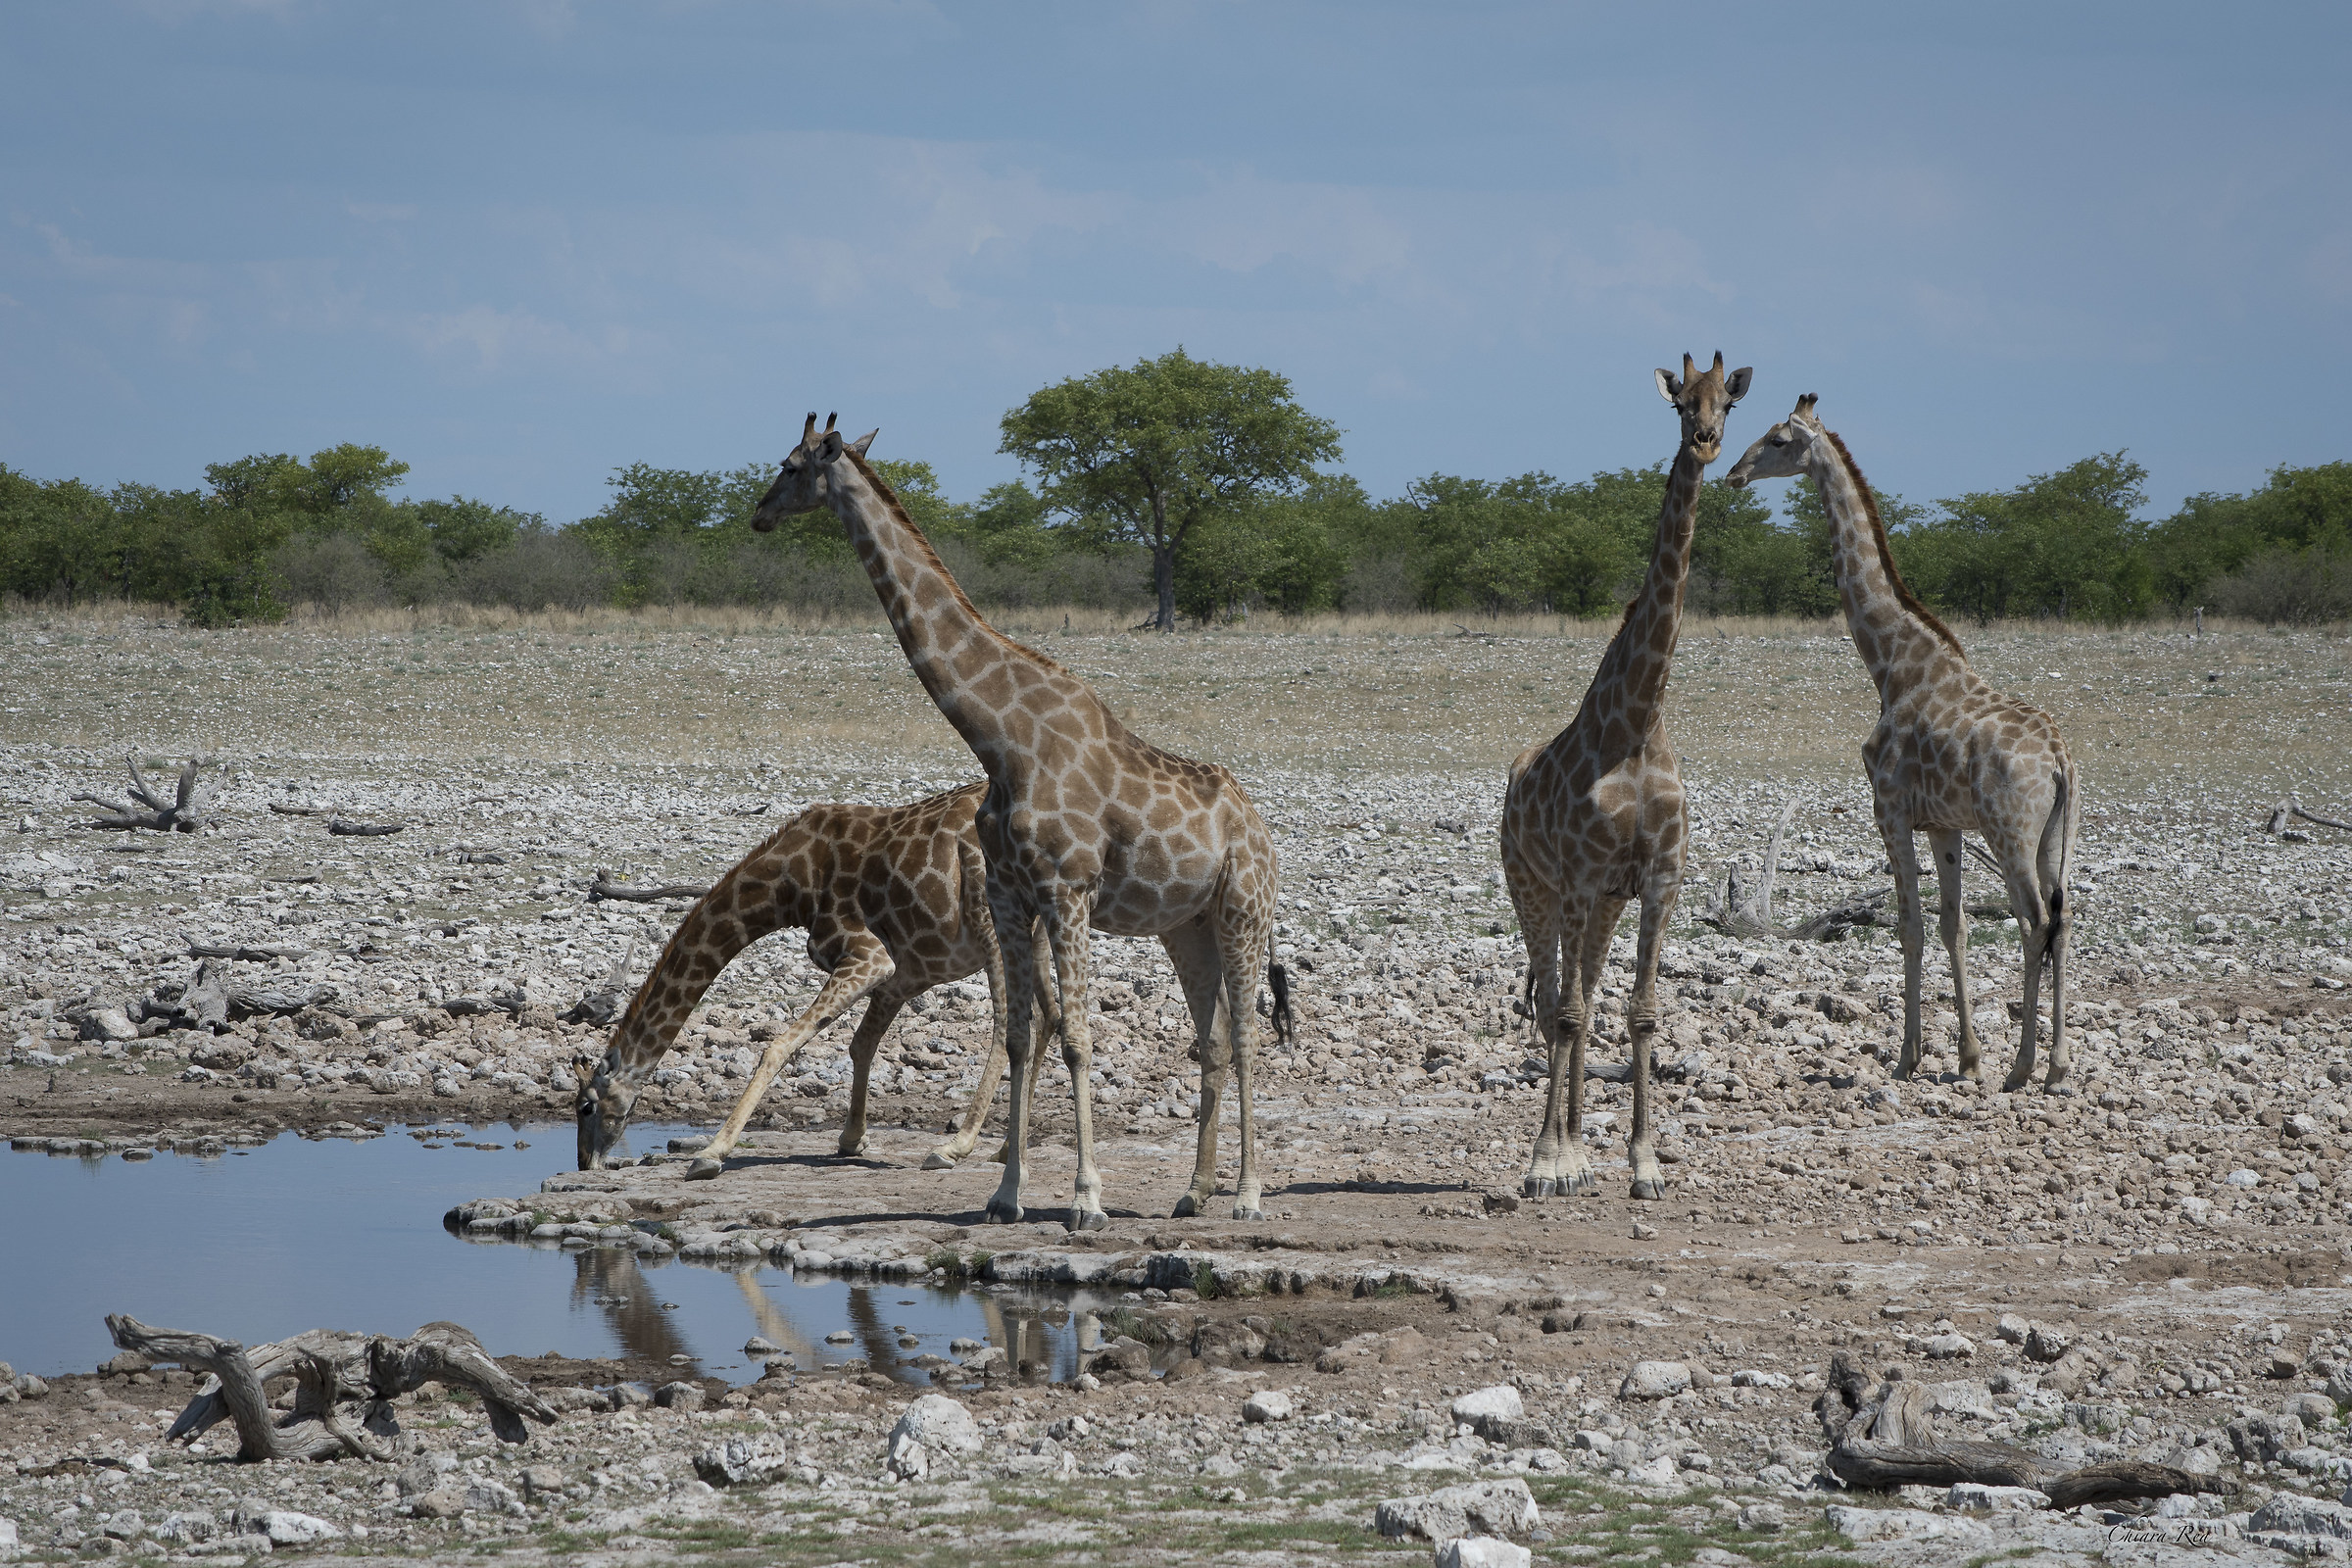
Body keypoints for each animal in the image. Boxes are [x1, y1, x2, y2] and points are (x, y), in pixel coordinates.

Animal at [575, 784, 1059, 1177]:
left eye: (585, 1107)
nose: (583, 1162)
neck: (791, 886)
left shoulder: (871, 956)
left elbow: (780, 1045)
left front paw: (712, 1152)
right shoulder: (905, 971)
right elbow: (861, 1044)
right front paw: (851, 1139)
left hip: (990, 918)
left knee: (1009, 1024)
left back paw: (956, 1146)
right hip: (1035, 931)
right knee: (1048, 1016)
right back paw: (1005, 1149)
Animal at [752, 415, 1291, 1231]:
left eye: (790, 466)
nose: (756, 514)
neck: (999, 740)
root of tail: (1259, 827)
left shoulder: (1067, 888)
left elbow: (1076, 1037)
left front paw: (1085, 1197)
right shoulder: (1010, 893)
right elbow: (1016, 1034)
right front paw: (1004, 1193)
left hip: (1242, 908)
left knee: (1251, 1035)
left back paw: (1249, 1195)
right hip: (1184, 926)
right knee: (1216, 1040)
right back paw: (1194, 1191)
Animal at [1503, 352, 1751, 1201]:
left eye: (1729, 403)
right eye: (1679, 404)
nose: (1705, 442)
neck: (1639, 725)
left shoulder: (1659, 877)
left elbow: (1640, 1012)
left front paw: (1643, 1164)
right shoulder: (1579, 875)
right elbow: (1571, 1013)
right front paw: (1545, 1163)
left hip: (1603, 904)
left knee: (1582, 992)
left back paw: (1582, 1150)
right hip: (1535, 890)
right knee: (1556, 999)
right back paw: (1559, 1156)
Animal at [1728, 396, 2077, 1090]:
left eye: (1777, 439)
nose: (1733, 473)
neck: (1892, 664)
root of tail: (2057, 760)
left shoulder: (1887, 809)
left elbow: (1909, 926)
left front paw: (1908, 1055)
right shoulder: (1942, 824)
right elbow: (1952, 927)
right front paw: (1966, 1058)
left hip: (2011, 832)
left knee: (2035, 923)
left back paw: (2023, 1067)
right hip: (2056, 835)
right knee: (2066, 920)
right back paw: (2054, 1066)